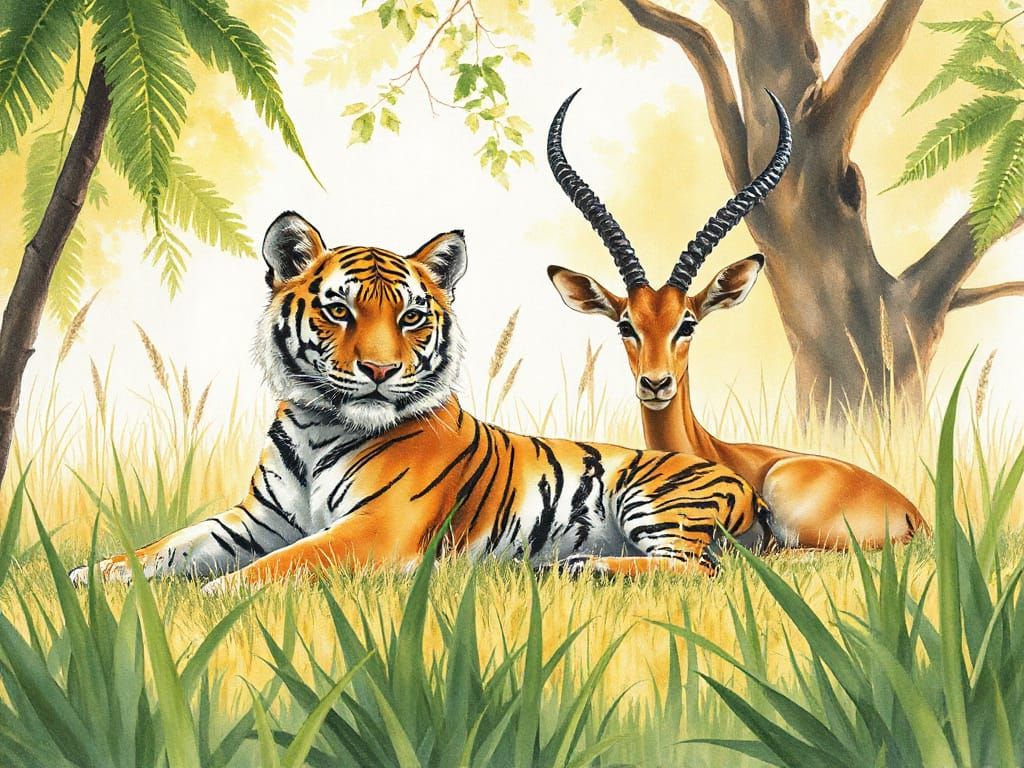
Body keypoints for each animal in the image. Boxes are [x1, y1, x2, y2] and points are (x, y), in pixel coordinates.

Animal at [69, 212, 773, 593]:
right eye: (339, 310)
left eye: (410, 317)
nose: (381, 371)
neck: (316, 424)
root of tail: (737, 477)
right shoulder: (253, 520)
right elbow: (167, 547)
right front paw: (89, 576)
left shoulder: (374, 530)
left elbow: (269, 569)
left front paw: (216, 595)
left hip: (655, 501)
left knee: (697, 570)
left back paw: (580, 567)